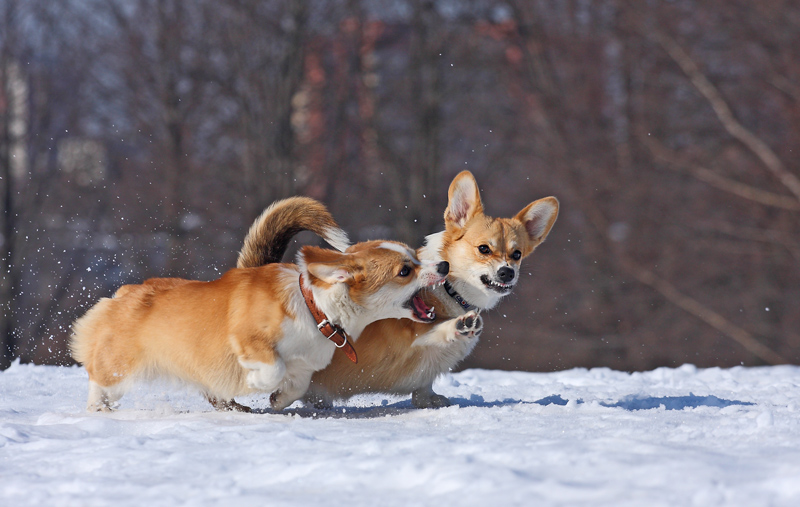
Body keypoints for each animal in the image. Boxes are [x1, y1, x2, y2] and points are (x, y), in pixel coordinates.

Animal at [69, 196, 450, 414]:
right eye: (405, 271)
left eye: (416, 257)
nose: (444, 266)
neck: (315, 309)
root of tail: (123, 293)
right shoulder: (251, 340)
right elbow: (271, 370)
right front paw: (253, 384)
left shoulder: (306, 365)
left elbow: (293, 385)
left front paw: (276, 401)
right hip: (121, 364)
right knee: (99, 379)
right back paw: (98, 408)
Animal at [234, 171, 560, 408]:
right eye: (484, 249)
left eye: (516, 254)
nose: (507, 273)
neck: (450, 290)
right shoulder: (408, 339)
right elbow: (435, 332)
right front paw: (459, 326)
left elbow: (424, 390)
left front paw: (432, 400)